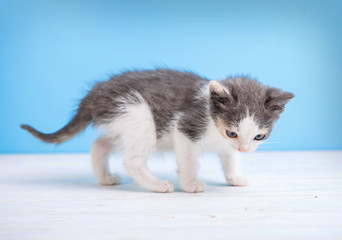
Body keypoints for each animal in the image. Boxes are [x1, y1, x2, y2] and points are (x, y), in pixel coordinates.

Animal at [21, 69, 294, 193]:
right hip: (139, 114)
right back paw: (157, 185)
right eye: (232, 133)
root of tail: (94, 94)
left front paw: (235, 177)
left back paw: (105, 178)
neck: (209, 113)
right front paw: (190, 184)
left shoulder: (226, 146)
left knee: (99, 145)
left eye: (259, 136)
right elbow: (187, 160)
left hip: (123, 122)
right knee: (131, 159)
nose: (245, 148)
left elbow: (230, 158)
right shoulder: (185, 126)